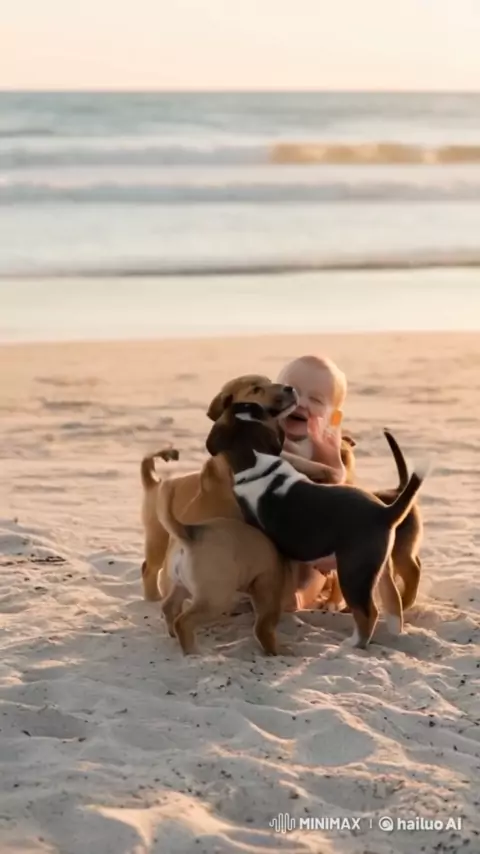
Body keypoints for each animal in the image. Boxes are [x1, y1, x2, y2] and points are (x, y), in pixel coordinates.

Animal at [206, 401, 430, 649]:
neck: (257, 460)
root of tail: (385, 511)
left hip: (353, 571)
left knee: (368, 612)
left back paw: (353, 644)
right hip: (379, 568)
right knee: (393, 601)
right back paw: (396, 635)